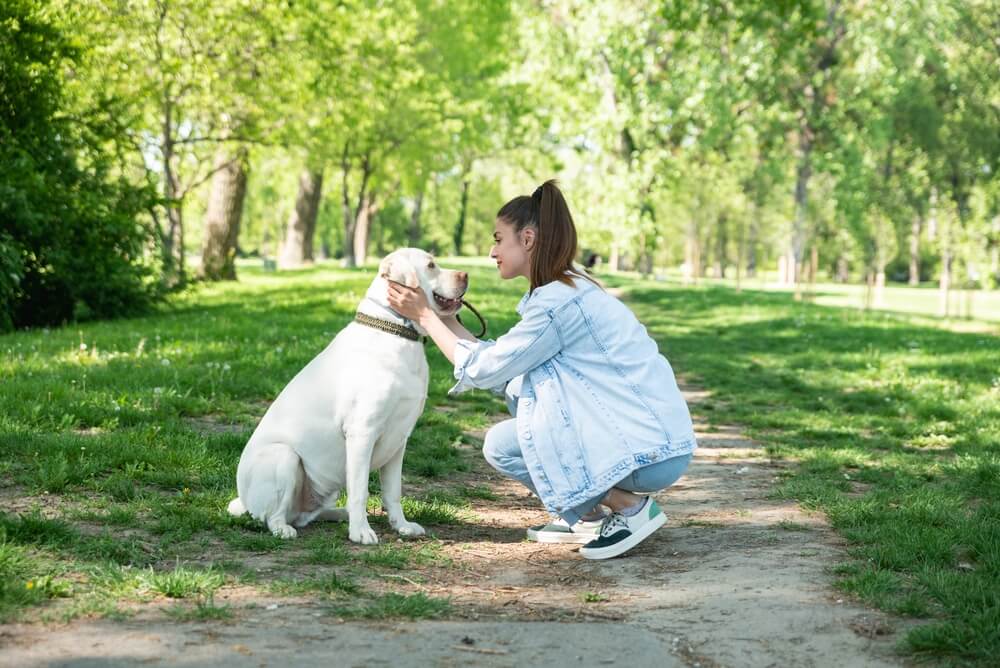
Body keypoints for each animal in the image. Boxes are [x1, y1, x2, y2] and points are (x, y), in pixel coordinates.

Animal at [230, 248, 468, 540]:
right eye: (431, 265)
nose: (466, 275)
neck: (397, 330)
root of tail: (243, 501)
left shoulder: (399, 439)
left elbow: (393, 492)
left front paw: (401, 526)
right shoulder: (362, 433)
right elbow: (360, 491)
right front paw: (361, 532)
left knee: (307, 515)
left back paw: (339, 515)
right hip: (283, 456)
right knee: (273, 516)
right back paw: (285, 529)